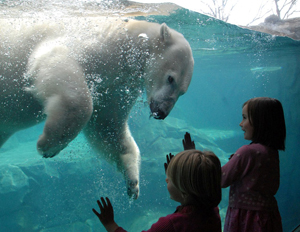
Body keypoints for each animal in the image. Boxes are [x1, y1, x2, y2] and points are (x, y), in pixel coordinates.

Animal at [0, 16, 195, 198]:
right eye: (170, 78)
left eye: (183, 91)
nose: (161, 112)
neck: (124, 41)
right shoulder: (90, 44)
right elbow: (58, 64)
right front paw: (48, 146)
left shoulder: (115, 86)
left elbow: (108, 126)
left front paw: (133, 182)